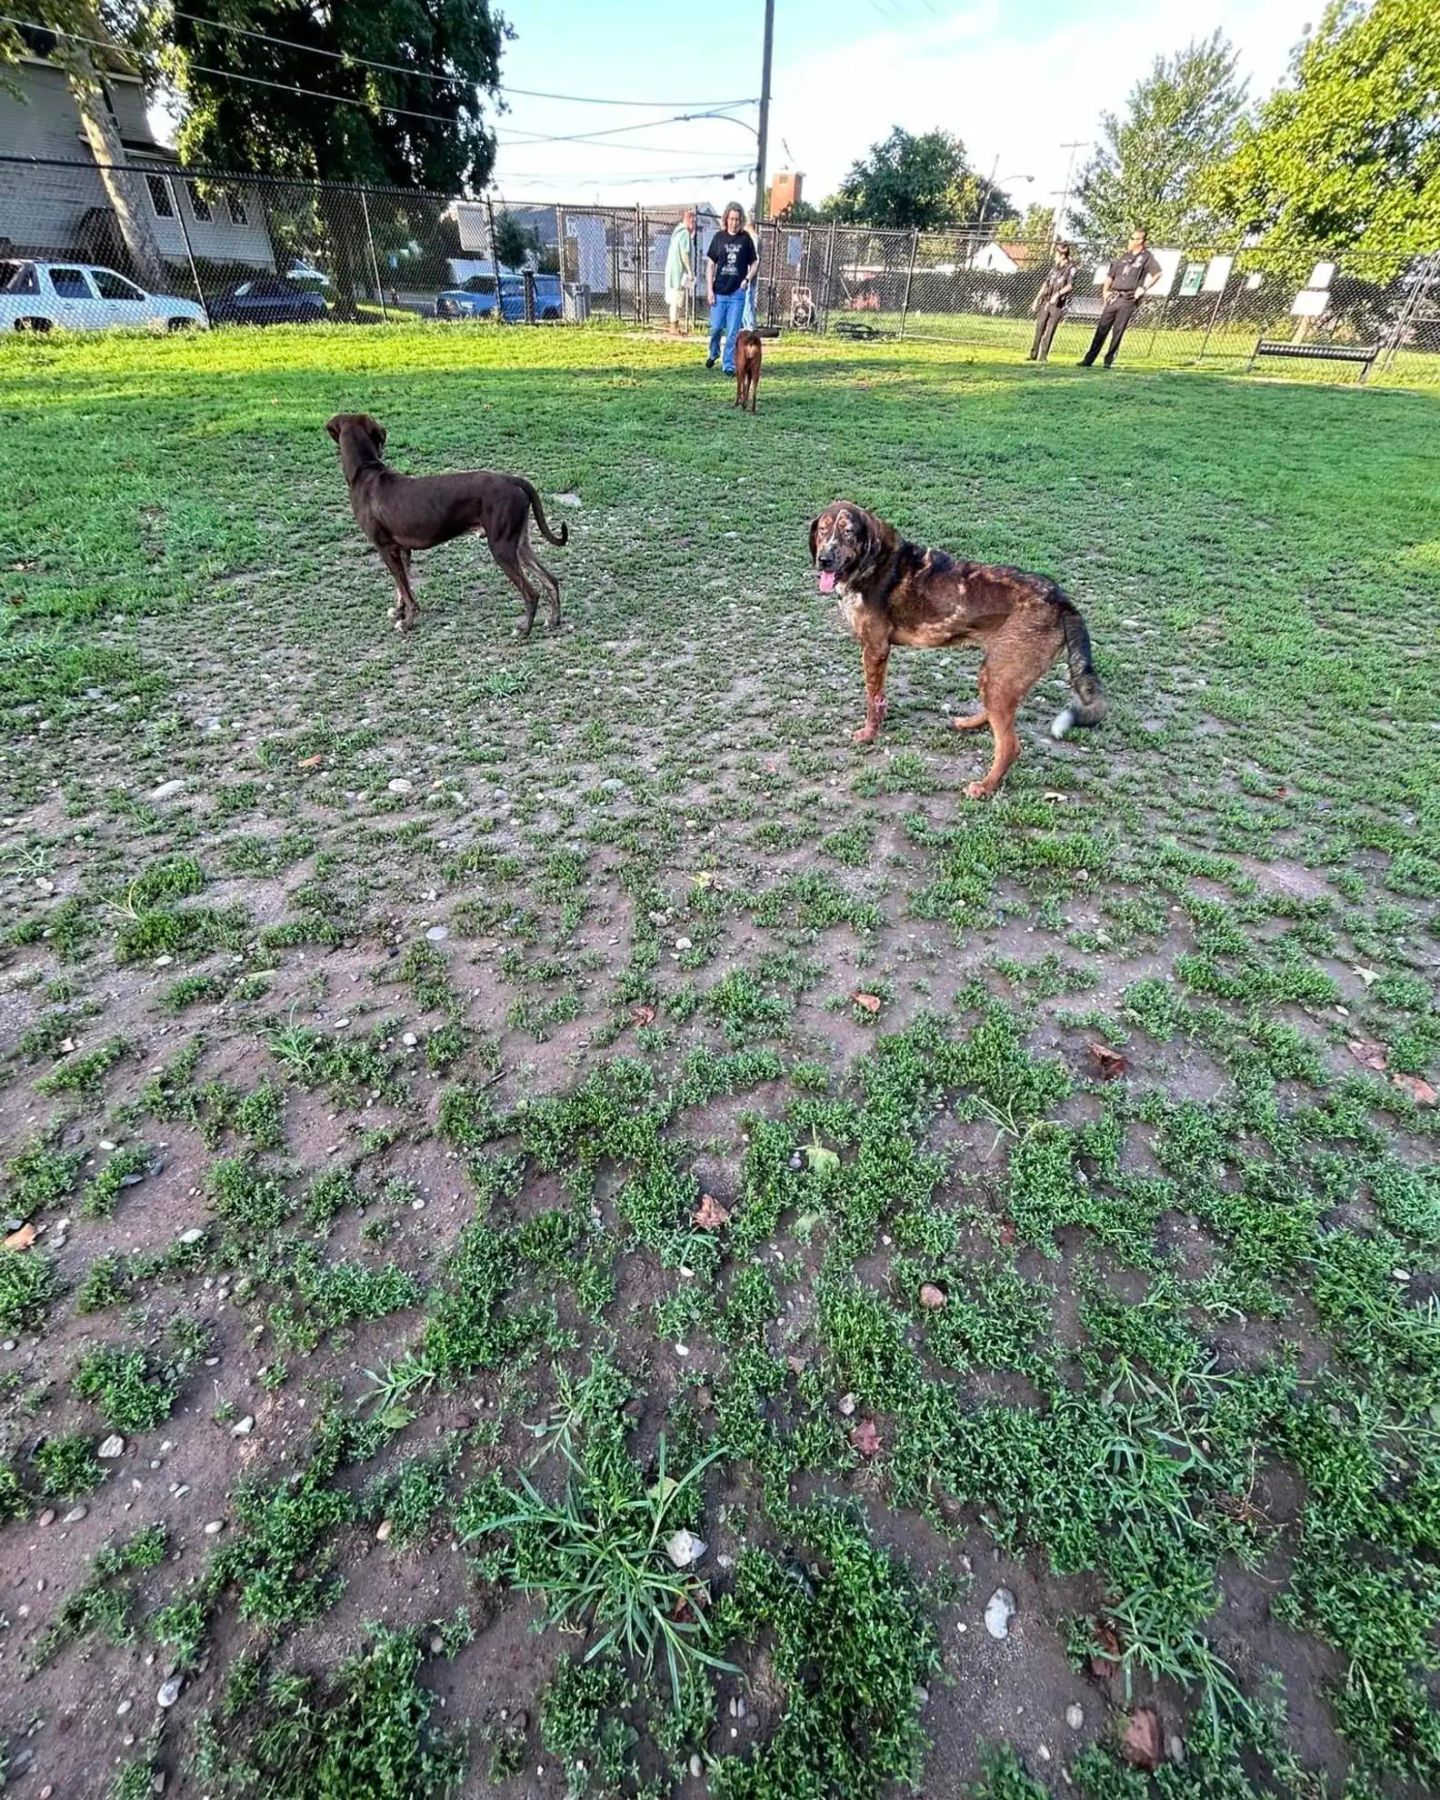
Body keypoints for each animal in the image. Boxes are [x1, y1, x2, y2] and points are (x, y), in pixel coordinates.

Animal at [325, 412, 568, 637]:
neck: (365, 471)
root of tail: (512, 479)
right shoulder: (402, 551)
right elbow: (402, 588)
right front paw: (399, 612)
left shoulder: (386, 549)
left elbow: (406, 592)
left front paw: (407, 622)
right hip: (519, 544)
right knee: (550, 580)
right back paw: (554, 620)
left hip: (502, 548)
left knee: (532, 593)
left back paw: (524, 629)